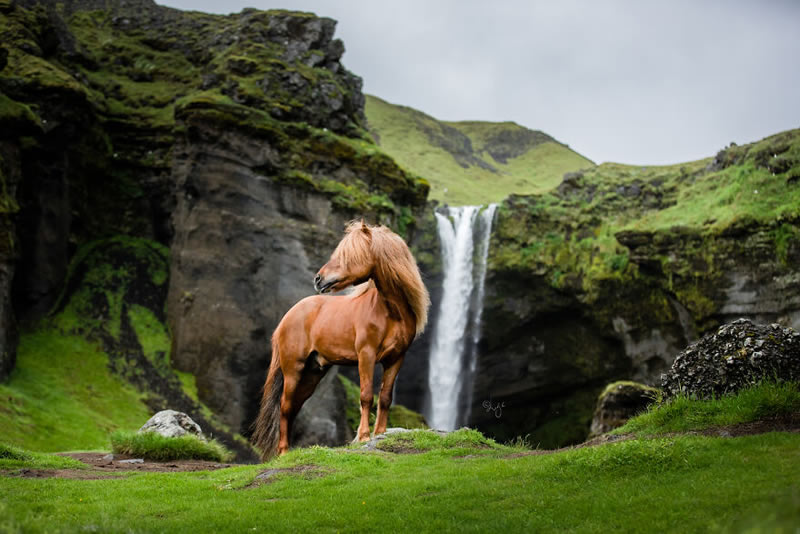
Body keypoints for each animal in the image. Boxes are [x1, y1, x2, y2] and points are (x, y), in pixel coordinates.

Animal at [253, 221, 432, 460]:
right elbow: (366, 396)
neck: (391, 313)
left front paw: (380, 433)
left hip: (312, 373)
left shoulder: (396, 359)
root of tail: (287, 317)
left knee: (293, 407)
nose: (318, 279)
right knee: (284, 406)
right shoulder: (366, 355)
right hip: (293, 370)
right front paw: (363, 436)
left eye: (348, 255)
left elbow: (385, 397)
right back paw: (283, 452)